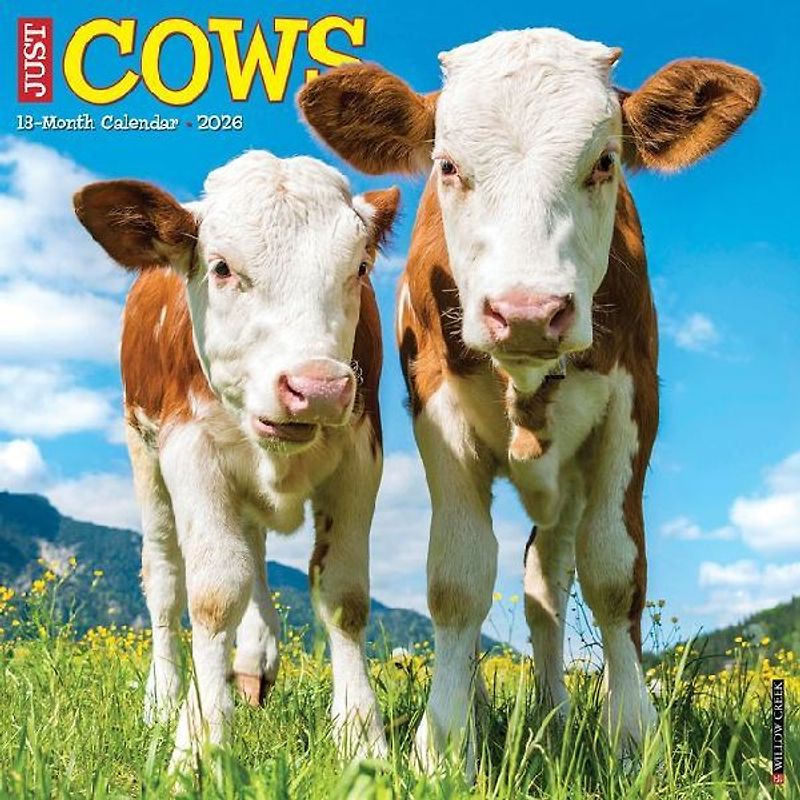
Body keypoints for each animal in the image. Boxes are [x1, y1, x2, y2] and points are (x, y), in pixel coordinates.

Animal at [73, 151, 399, 767]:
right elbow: (214, 593)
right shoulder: (189, 450)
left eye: (361, 267)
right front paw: (199, 741)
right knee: (166, 579)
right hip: (143, 454)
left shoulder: (361, 453)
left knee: (253, 549)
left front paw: (361, 736)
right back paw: (164, 699)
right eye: (222, 267)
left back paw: (252, 658)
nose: (318, 387)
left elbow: (344, 595)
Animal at [298, 28, 760, 773]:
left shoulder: (633, 407)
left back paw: (553, 712)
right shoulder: (437, 409)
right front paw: (446, 742)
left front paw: (633, 738)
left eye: (605, 162)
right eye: (448, 165)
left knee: (547, 584)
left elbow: (613, 573)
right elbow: (458, 579)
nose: (525, 312)